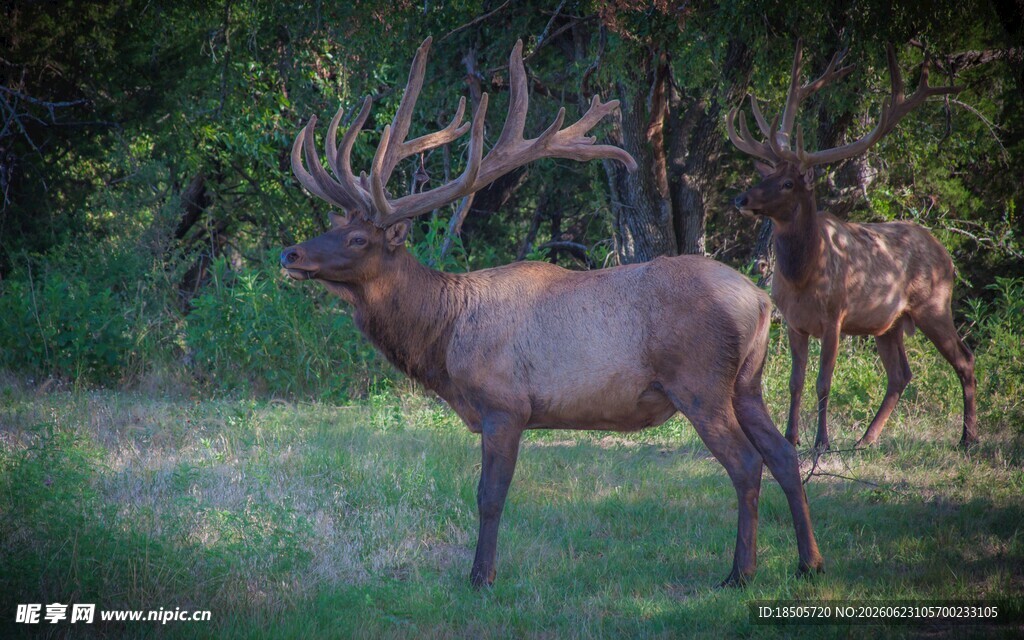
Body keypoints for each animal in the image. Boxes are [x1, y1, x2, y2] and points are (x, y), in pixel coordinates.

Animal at [280, 36, 824, 588]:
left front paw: (481, 576)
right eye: (333, 224)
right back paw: (809, 562)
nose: (291, 254)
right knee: (784, 455)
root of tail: (760, 300)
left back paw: (741, 572)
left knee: (746, 463)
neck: (444, 340)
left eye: (358, 238)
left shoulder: (505, 404)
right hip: (746, 381)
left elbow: (489, 497)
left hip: (700, 381)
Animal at [727, 40, 978, 452]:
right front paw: (791, 437)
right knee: (900, 373)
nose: (742, 199)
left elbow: (823, 381)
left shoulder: (835, 316)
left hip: (935, 305)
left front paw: (821, 442)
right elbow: (795, 382)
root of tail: (946, 254)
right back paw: (866, 439)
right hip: (889, 323)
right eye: (767, 173)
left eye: (788, 183)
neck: (802, 275)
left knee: (965, 358)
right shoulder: (794, 322)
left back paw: (968, 437)